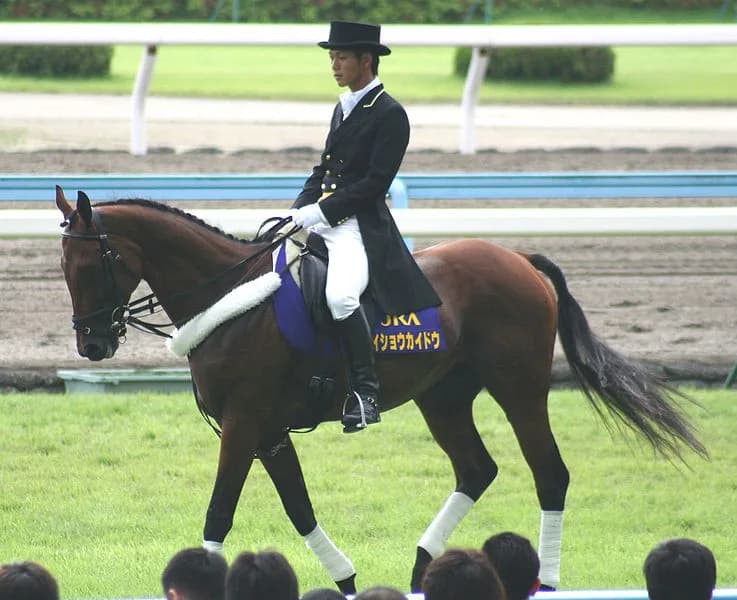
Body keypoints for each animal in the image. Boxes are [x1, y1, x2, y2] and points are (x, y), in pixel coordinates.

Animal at [54, 186, 706, 593]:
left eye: (93, 265)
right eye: (63, 267)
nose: (93, 344)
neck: (231, 296)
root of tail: (516, 257)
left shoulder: (243, 426)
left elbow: (219, 512)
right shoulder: (267, 431)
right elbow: (299, 509)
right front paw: (346, 580)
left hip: (519, 389)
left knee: (550, 474)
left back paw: (544, 581)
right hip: (442, 397)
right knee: (476, 469)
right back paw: (422, 569)